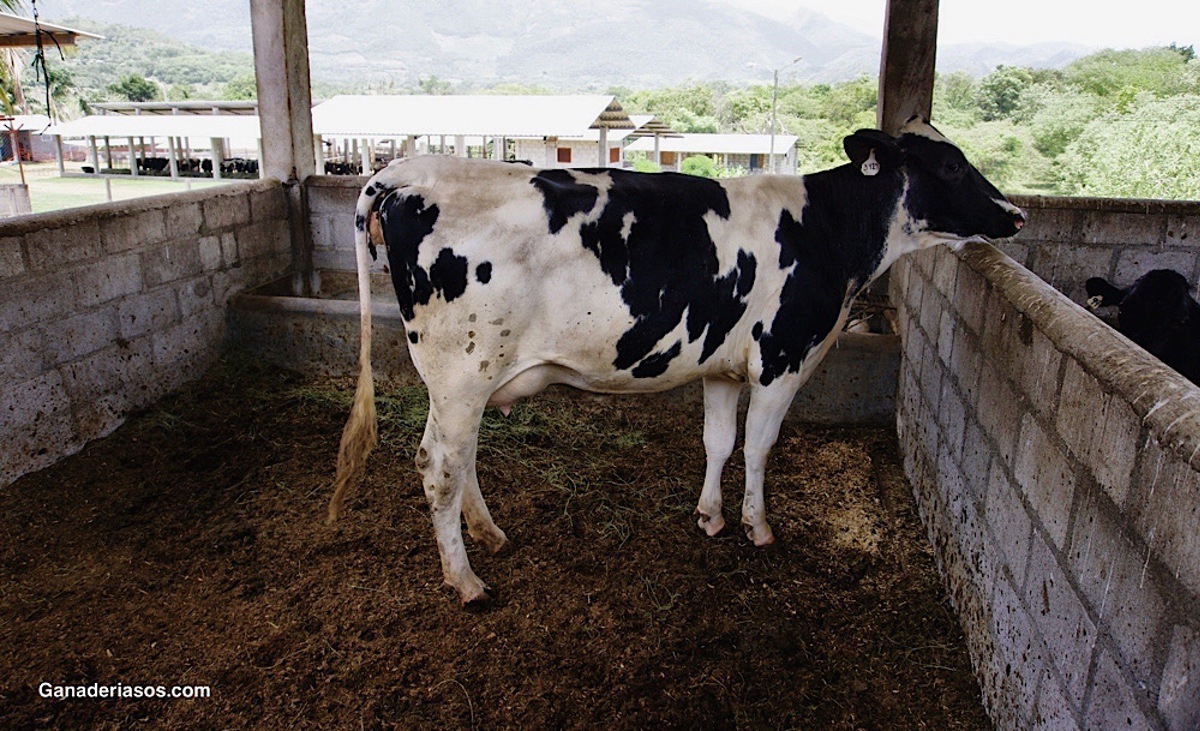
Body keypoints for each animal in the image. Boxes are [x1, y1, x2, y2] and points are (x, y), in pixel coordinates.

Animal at [333, 115, 1027, 604]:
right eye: (952, 165)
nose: (1016, 214)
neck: (825, 231)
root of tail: (409, 171)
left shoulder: (721, 367)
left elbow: (719, 441)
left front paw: (710, 517)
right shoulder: (783, 359)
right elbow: (759, 446)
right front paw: (757, 526)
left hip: (463, 383)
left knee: (457, 460)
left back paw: (490, 536)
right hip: (461, 372)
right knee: (439, 467)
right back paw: (467, 581)